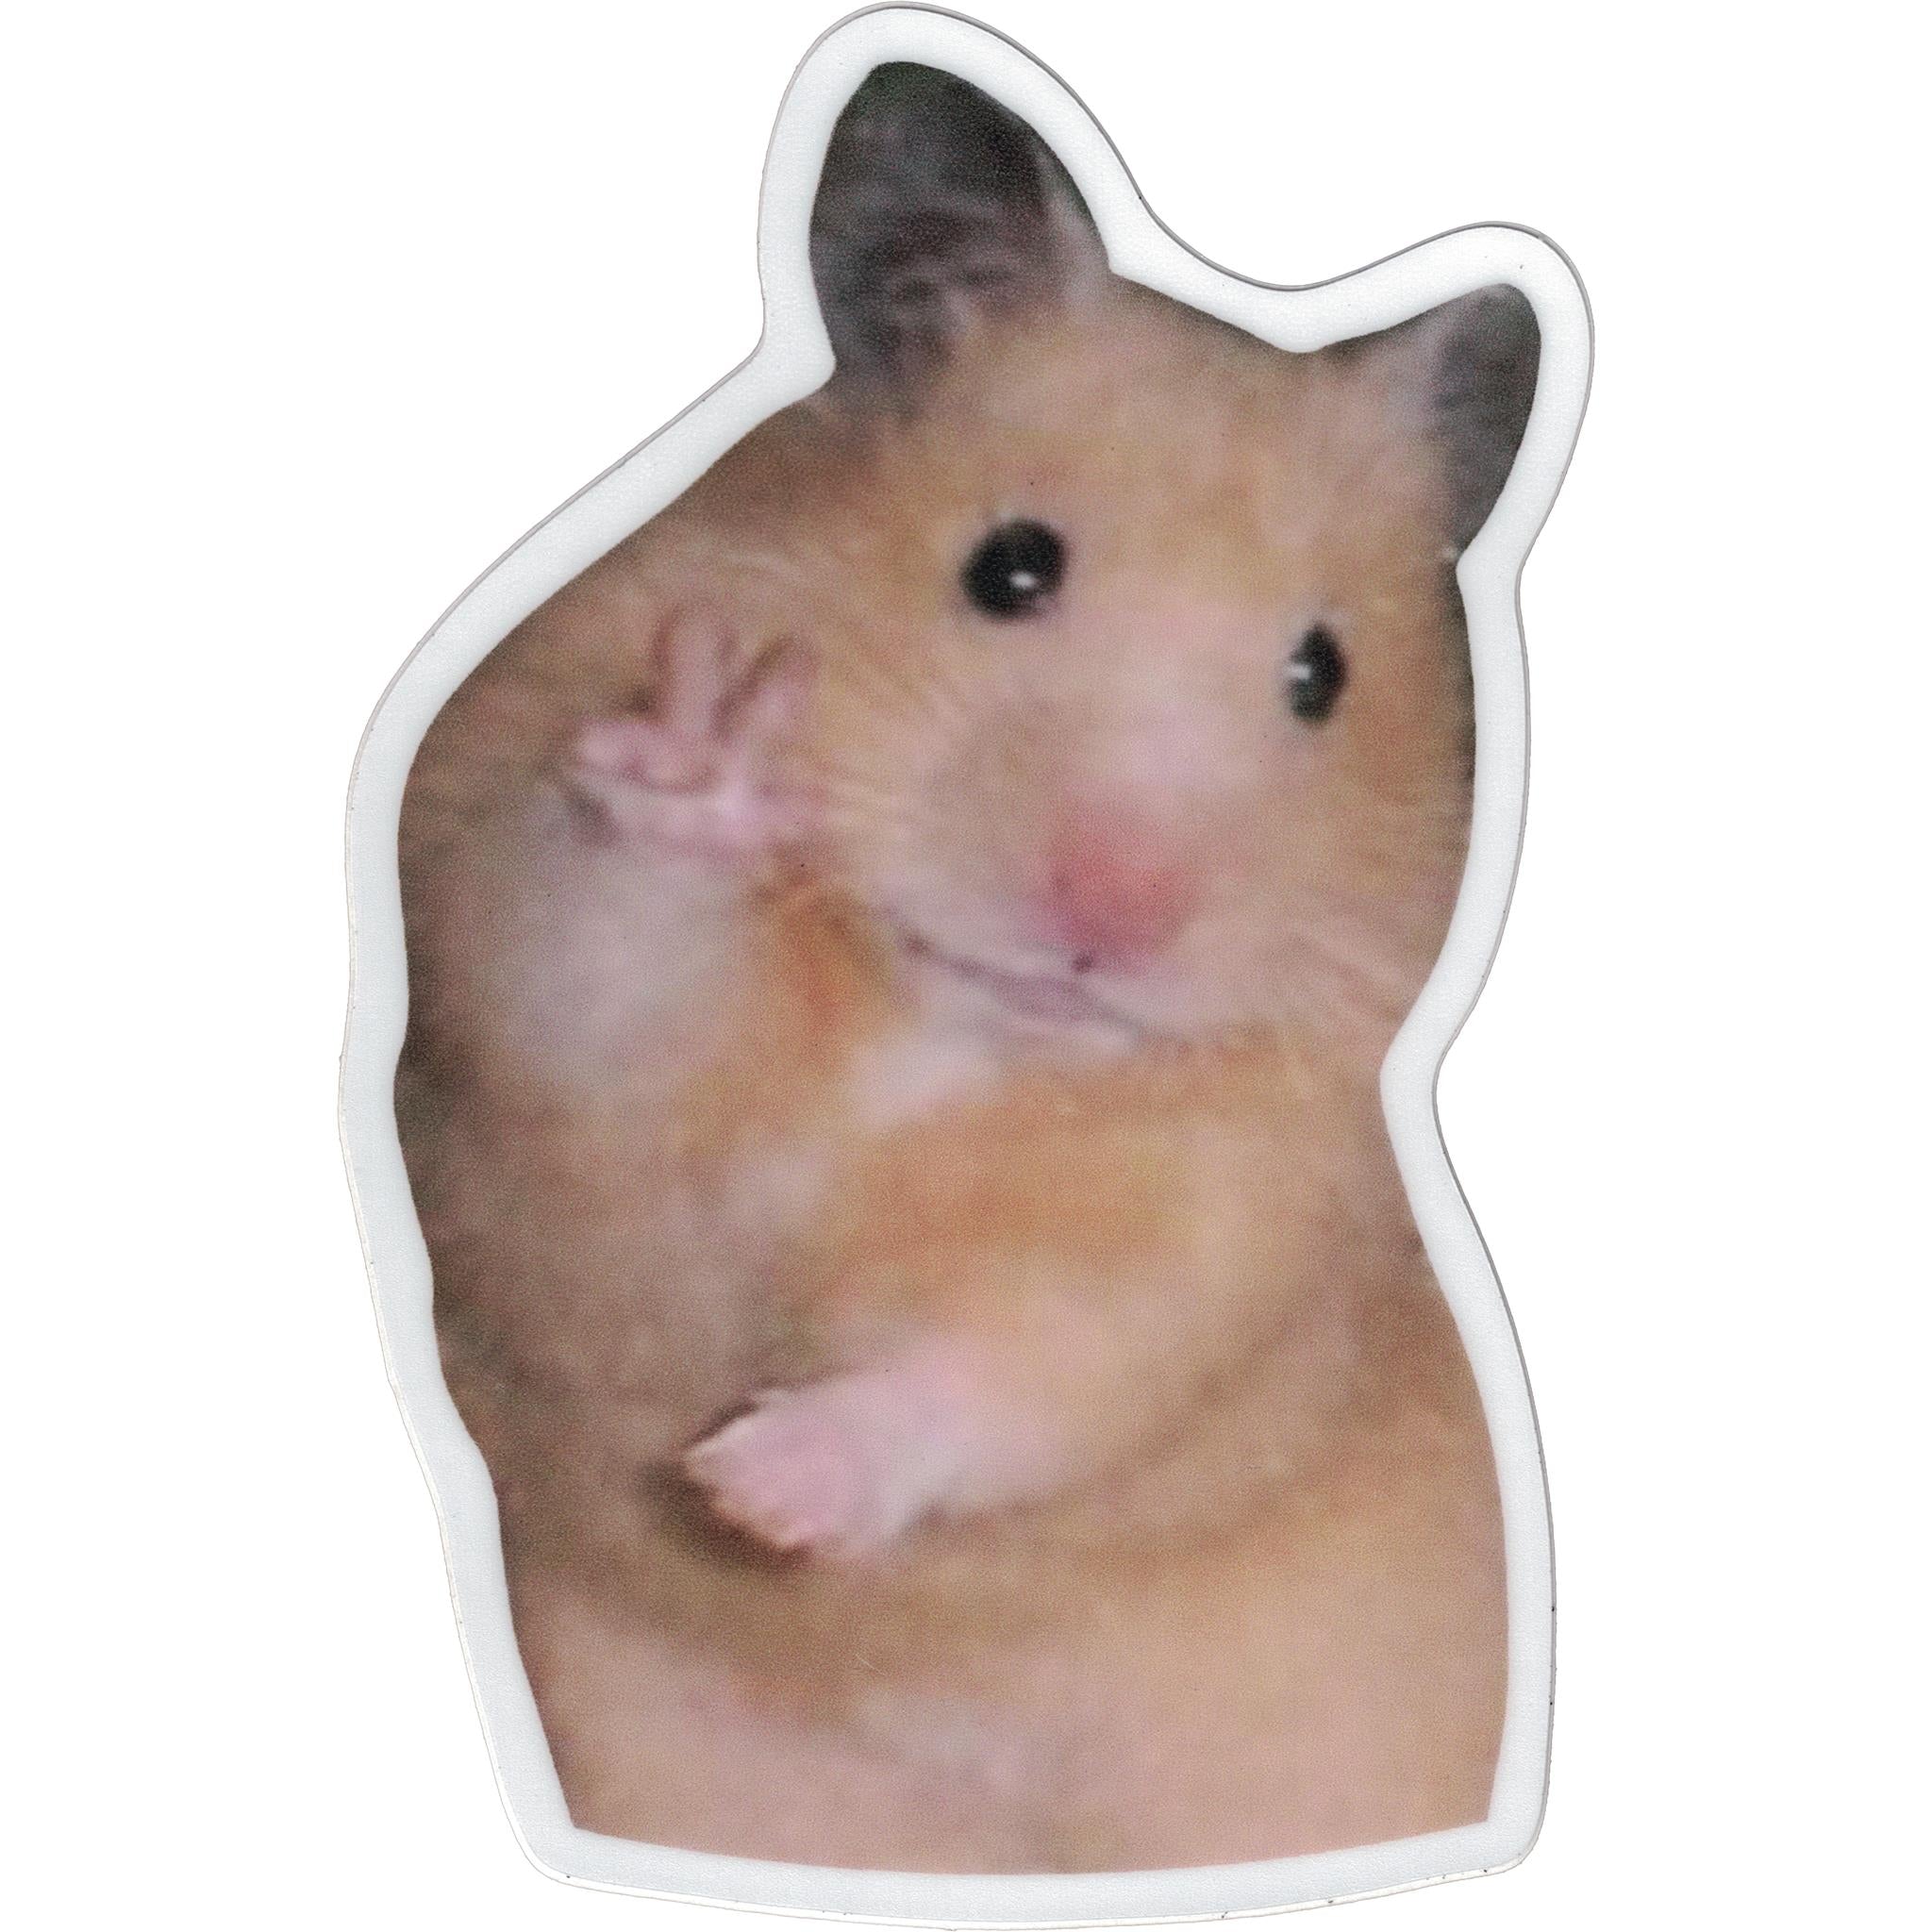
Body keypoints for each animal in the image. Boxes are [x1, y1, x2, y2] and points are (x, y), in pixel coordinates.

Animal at [397, 63, 1539, 1873]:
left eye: (1321, 675)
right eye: (1009, 566)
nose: (1108, 915)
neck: (952, 1028)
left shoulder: (1235, 1226)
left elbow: (1026, 1367)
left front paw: (757, 1488)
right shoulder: (514, 994)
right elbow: (592, 952)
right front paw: (710, 754)